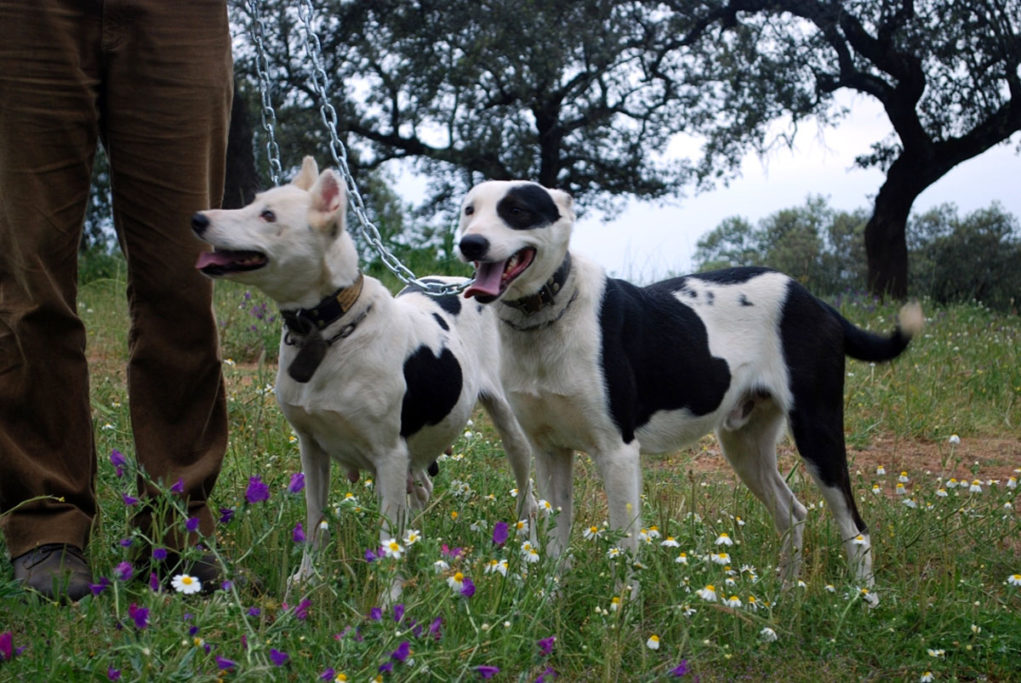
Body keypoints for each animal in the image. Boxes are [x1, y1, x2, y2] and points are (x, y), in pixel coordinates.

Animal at [192, 157, 543, 583]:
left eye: (268, 215)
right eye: (253, 203)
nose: (198, 219)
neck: (329, 329)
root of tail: (468, 283)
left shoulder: (389, 455)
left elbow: (388, 538)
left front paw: (391, 595)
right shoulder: (312, 447)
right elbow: (315, 517)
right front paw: (307, 577)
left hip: (510, 430)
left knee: (527, 494)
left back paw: (530, 552)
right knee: (421, 493)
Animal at [459, 178, 922, 583]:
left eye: (517, 211)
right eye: (469, 211)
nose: (470, 244)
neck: (546, 315)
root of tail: (815, 301)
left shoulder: (618, 453)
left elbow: (624, 550)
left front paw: (619, 617)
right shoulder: (549, 453)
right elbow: (555, 549)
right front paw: (549, 607)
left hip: (816, 431)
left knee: (856, 528)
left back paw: (862, 603)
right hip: (744, 444)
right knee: (792, 514)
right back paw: (784, 598)